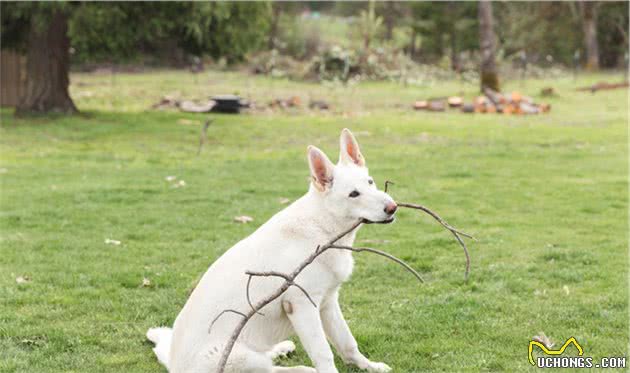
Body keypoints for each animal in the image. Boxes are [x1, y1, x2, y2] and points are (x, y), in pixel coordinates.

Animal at [148, 129, 400, 372]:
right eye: (354, 194)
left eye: (370, 182)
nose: (392, 207)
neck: (321, 227)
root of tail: (173, 364)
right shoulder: (302, 306)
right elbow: (324, 354)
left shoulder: (328, 303)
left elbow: (348, 343)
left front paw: (370, 366)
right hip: (238, 356)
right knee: (268, 369)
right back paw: (301, 369)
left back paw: (282, 348)